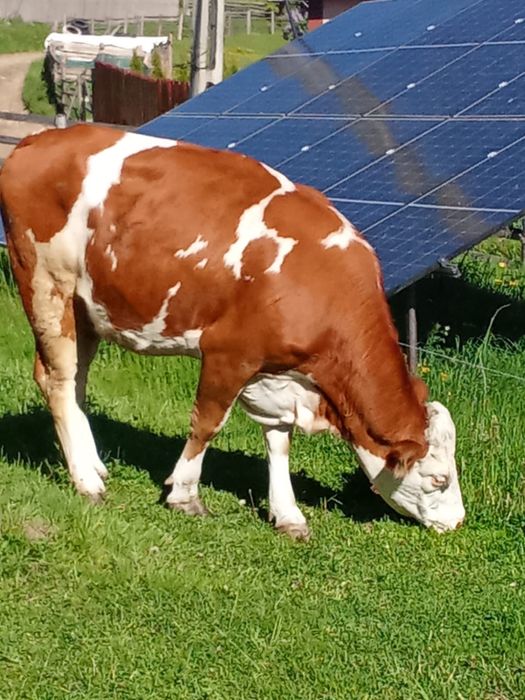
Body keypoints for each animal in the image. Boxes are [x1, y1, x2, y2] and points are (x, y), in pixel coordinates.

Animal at [0, 124, 465, 539]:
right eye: (438, 479)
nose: (458, 522)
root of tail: (36, 141)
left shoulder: (276, 372)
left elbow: (279, 439)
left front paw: (288, 514)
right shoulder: (228, 353)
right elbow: (208, 423)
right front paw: (184, 495)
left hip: (86, 306)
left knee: (75, 380)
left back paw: (92, 463)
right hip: (46, 283)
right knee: (57, 378)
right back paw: (86, 480)